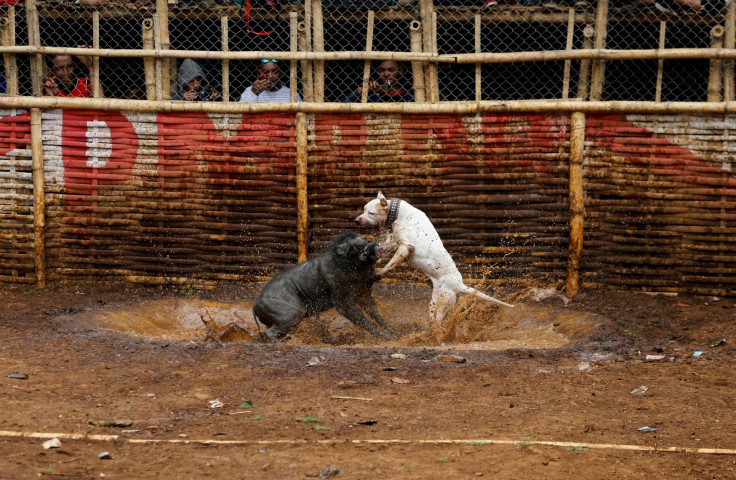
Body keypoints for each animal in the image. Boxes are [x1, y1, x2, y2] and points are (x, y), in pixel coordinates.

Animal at [356, 189, 516, 324]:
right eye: (363, 210)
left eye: (371, 213)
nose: (357, 220)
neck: (398, 214)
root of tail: (459, 285)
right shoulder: (395, 242)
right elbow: (383, 248)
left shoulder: (406, 247)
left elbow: (390, 264)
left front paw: (378, 274)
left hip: (439, 303)